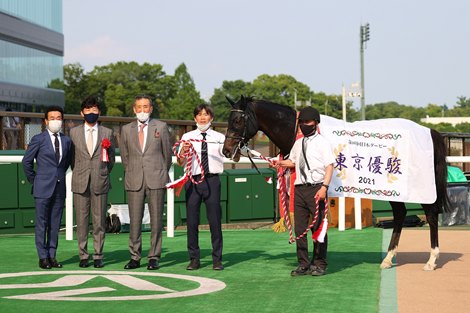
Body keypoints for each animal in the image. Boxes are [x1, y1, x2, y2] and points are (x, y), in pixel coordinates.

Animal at [224, 94, 452, 268]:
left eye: (238, 120)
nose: (226, 150)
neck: (301, 133)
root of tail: (429, 131)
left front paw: (316, 263)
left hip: (422, 188)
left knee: (431, 214)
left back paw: (431, 260)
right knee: (400, 214)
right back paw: (388, 259)